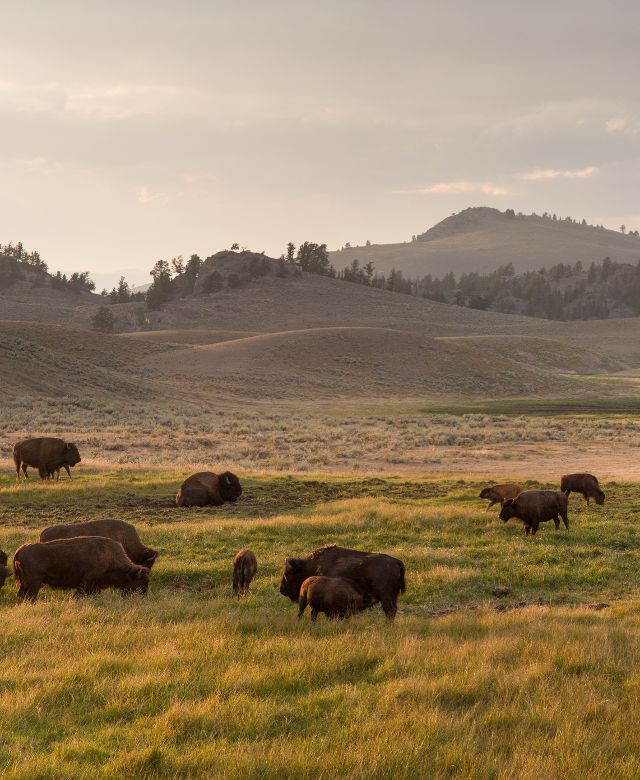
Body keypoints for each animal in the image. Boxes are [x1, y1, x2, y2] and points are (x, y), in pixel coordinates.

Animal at [13, 536, 149, 604]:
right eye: (140, 583)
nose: (143, 596)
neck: (110, 556)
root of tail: (21, 549)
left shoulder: (94, 584)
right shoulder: (88, 580)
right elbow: (80, 593)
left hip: (25, 583)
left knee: (21, 596)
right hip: (34, 582)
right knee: (29, 596)